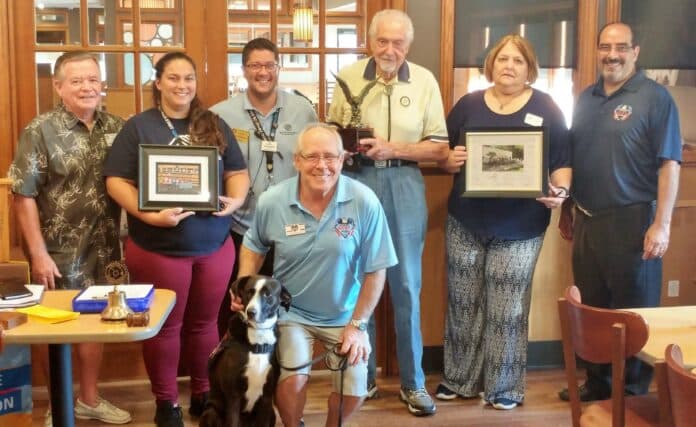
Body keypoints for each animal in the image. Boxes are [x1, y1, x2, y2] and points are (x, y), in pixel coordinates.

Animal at [200, 276, 290, 426]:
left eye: (267, 294)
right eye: (249, 292)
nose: (251, 312)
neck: (257, 343)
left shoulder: (266, 399)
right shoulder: (233, 397)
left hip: (272, 414)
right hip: (211, 412)